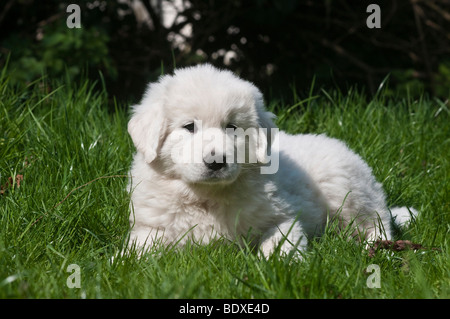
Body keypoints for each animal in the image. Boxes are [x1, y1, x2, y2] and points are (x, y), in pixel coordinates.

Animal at [125, 65, 414, 258]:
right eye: (189, 127)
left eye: (231, 127)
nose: (217, 161)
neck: (205, 197)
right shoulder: (152, 227)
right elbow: (139, 250)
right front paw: (122, 262)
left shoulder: (282, 216)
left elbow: (280, 242)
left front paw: (281, 264)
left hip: (347, 190)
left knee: (377, 223)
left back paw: (375, 249)